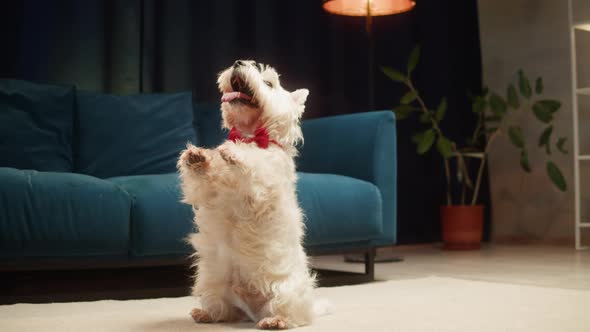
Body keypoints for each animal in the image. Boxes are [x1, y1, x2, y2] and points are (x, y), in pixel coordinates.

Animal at [180, 60, 328, 330]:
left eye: (269, 82)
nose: (238, 63)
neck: (250, 132)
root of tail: (251, 310)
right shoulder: (209, 193)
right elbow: (202, 181)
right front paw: (198, 157)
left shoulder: (262, 184)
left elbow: (254, 161)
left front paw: (234, 151)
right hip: (211, 281)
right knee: (224, 310)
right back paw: (205, 314)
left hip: (284, 290)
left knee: (292, 316)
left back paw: (275, 321)